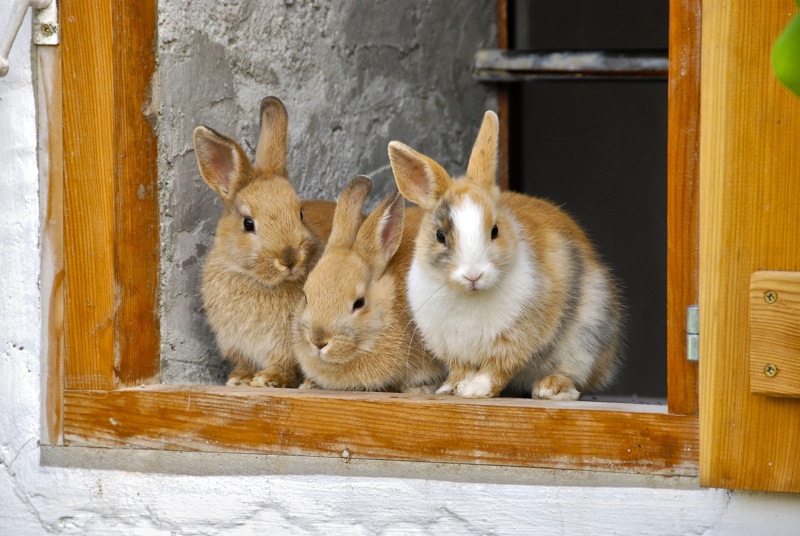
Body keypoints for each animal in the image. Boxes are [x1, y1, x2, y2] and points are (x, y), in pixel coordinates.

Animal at [194, 96, 336, 387]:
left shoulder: (287, 346)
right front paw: (239, 379)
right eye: (248, 223)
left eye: (300, 213)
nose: (289, 258)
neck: (258, 281)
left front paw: (268, 379)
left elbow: (285, 364)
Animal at [387, 110, 623, 400]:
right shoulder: (452, 347)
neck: (470, 296)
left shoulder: (515, 339)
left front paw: (475, 390)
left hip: (586, 338)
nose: (473, 274)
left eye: (495, 230)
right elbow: (461, 369)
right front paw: (450, 389)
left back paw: (550, 388)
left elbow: (498, 367)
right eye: (440, 235)